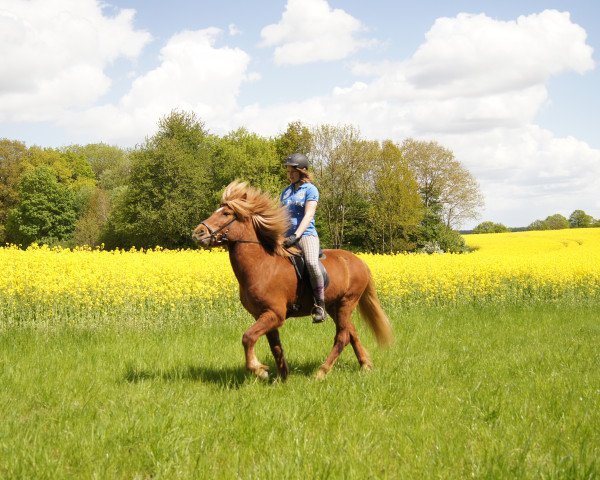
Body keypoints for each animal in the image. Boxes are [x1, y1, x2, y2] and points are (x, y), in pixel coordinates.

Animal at [190, 182, 392, 380]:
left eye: (226, 213)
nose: (198, 233)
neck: (262, 265)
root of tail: (360, 262)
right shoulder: (263, 315)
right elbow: (275, 346)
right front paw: (282, 376)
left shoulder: (274, 314)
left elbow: (248, 337)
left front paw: (259, 369)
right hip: (334, 306)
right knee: (351, 332)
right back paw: (365, 366)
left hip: (347, 302)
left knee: (342, 337)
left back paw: (321, 372)